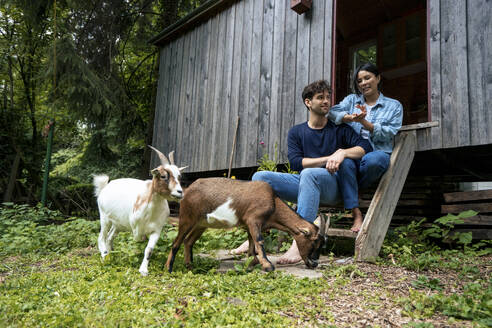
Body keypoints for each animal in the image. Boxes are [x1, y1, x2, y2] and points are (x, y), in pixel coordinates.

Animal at [92, 147, 184, 276]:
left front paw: (143, 270)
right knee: (101, 237)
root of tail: (105, 186)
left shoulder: (157, 230)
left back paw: (111, 255)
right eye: (163, 176)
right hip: (104, 218)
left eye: (179, 176)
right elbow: (138, 240)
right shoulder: (136, 229)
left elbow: (149, 250)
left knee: (110, 237)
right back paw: (105, 257)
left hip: (118, 224)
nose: (180, 192)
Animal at [166, 178, 326, 272]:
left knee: (188, 241)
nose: (314, 263)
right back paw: (169, 268)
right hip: (187, 218)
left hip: (201, 224)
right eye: (314, 243)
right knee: (176, 242)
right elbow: (259, 242)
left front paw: (250, 264)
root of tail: (186, 191)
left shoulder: (250, 225)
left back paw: (189, 266)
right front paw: (268, 265)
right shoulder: (253, 219)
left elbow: (251, 246)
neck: (274, 202)